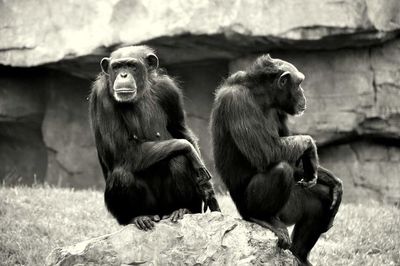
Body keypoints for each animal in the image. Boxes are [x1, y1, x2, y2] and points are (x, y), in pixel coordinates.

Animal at [89, 45, 220, 231]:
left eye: (131, 66)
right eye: (117, 67)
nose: (123, 75)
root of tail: (161, 213)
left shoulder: (169, 90)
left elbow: (181, 130)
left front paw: (207, 188)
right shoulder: (102, 97)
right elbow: (121, 149)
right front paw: (191, 151)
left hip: (167, 206)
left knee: (178, 160)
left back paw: (183, 209)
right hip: (140, 211)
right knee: (122, 175)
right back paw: (138, 217)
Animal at [209, 55, 344, 264]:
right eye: (299, 83)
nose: (304, 93)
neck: (262, 98)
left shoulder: (281, 112)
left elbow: (295, 160)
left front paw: (334, 181)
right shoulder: (237, 102)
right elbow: (266, 151)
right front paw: (311, 147)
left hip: (289, 208)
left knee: (321, 197)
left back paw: (299, 255)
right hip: (245, 208)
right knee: (281, 170)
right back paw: (264, 219)